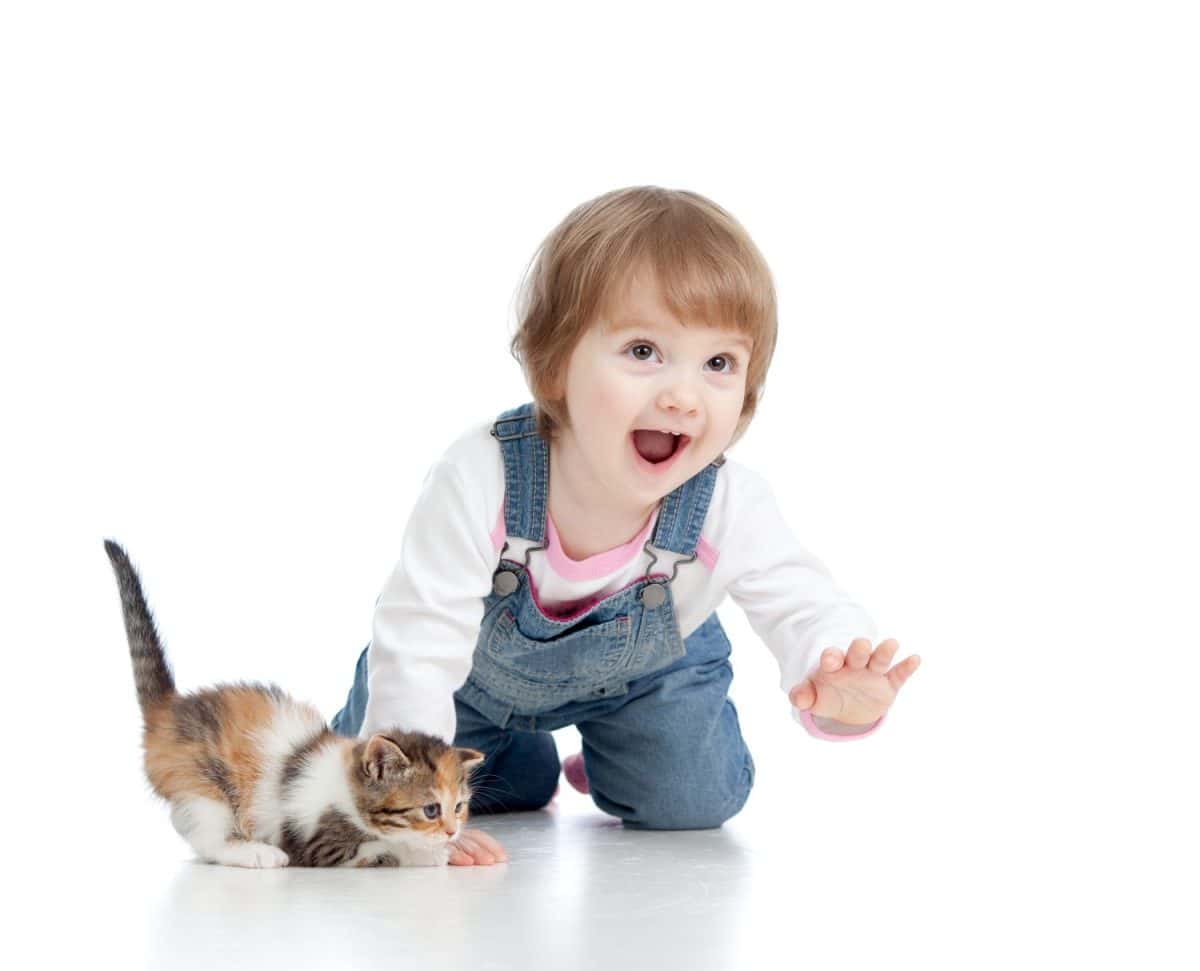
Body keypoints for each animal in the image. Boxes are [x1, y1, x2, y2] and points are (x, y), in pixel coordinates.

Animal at [99, 542, 482, 868]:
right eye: (431, 810)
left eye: (459, 806)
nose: (453, 831)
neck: (348, 786)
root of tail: (170, 708)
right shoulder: (316, 842)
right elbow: (381, 849)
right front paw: (427, 853)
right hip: (201, 784)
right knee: (205, 832)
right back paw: (255, 853)